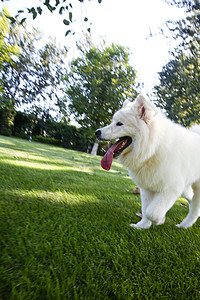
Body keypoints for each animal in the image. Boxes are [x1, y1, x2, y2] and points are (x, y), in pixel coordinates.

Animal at [95, 95, 200, 229]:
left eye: (119, 124)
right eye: (113, 122)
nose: (97, 132)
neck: (153, 149)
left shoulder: (171, 188)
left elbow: (152, 212)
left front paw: (159, 220)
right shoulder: (147, 187)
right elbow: (145, 209)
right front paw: (142, 226)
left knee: (195, 210)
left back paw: (185, 225)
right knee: (191, 199)